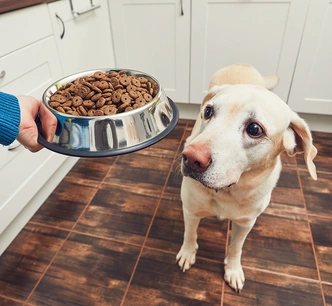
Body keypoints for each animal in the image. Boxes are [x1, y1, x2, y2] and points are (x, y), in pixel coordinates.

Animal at [175, 63, 318, 292]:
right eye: (208, 111)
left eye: (254, 129)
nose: (190, 158)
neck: (227, 191)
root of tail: (242, 64)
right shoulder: (191, 211)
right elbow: (190, 234)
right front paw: (188, 253)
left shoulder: (246, 223)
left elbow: (236, 248)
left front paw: (233, 270)